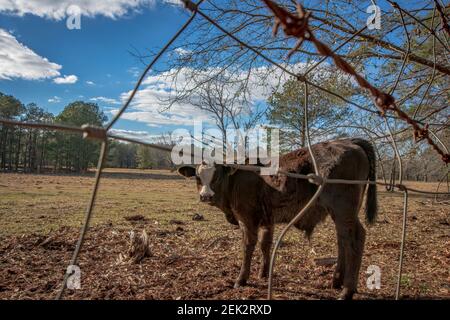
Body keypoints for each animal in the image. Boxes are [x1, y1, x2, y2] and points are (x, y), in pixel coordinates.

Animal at [178, 138, 378, 300]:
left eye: (217, 176)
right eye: (197, 176)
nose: (205, 196)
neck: (237, 178)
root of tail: (348, 141)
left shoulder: (246, 219)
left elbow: (248, 246)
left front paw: (241, 279)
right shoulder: (268, 219)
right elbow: (265, 244)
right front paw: (263, 273)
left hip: (343, 210)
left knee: (354, 239)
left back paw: (347, 290)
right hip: (343, 214)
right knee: (343, 239)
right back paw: (336, 281)